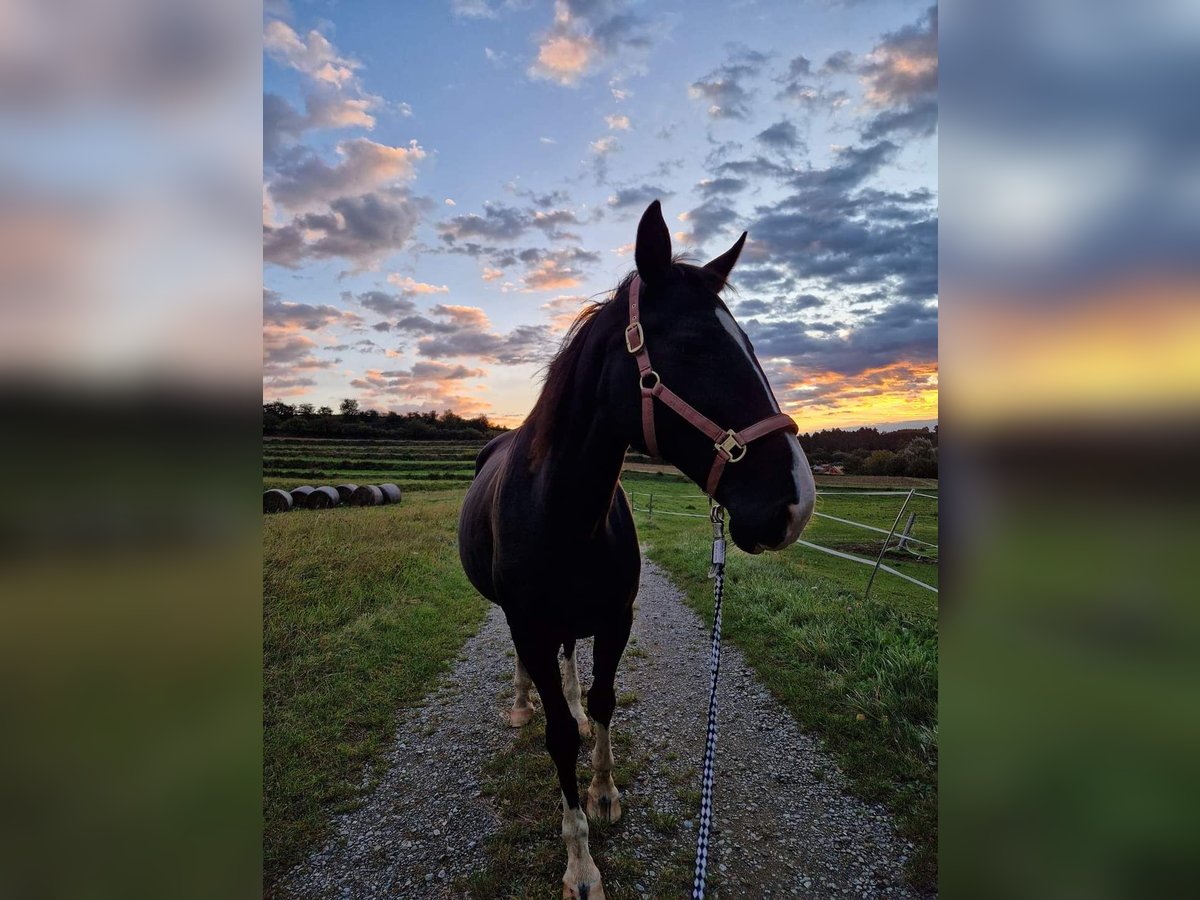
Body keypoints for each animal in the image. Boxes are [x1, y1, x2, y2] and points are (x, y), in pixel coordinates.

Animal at [458, 202, 816, 900]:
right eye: (694, 345)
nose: (795, 503)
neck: (563, 514)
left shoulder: (615, 620)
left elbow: (601, 704)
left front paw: (603, 794)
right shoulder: (531, 624)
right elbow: (559, 737)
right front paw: (580, 863)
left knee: (572, 667)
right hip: (519, 622)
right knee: (529, 671)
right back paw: (521, 703)